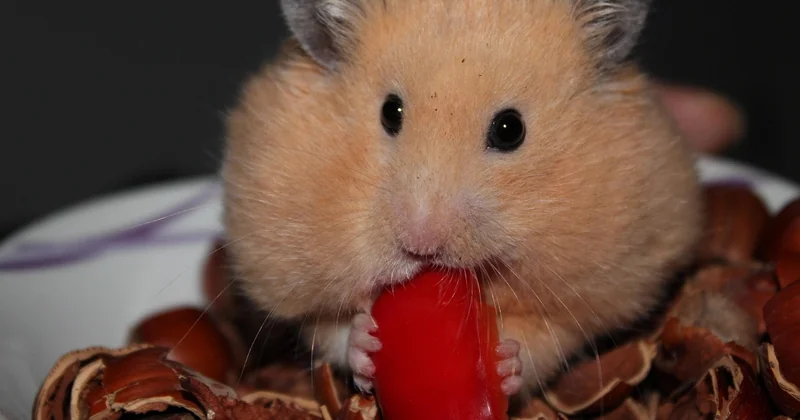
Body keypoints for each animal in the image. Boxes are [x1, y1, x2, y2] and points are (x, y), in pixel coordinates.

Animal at [220, 0, 703, 400]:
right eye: (390, 112)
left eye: (510, 129)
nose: (420, 246)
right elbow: (328, 327)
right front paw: (366, 342)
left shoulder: (588, 293)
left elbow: (546, 338)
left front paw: (506, 362)